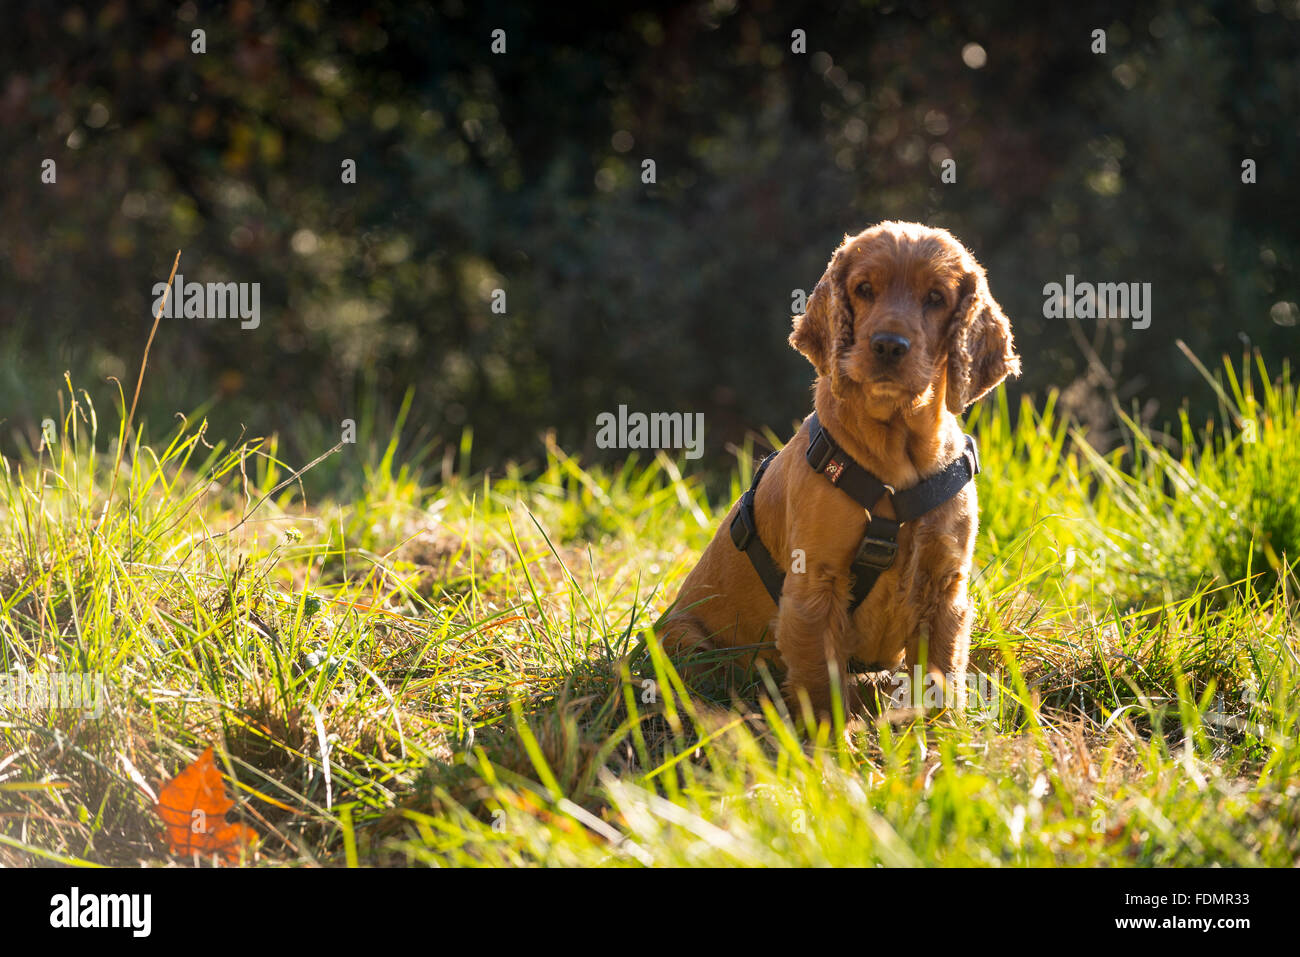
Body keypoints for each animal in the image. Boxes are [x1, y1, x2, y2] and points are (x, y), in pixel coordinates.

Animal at [660, 221, 1013, 722]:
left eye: (936, 297)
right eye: (864, 289)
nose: (888, 345)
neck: (895, 458)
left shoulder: (945, 587)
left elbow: (941, 674)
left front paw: (945, 734)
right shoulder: (815, 585)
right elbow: (819, 682)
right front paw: (831, 741)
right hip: (683, 639)